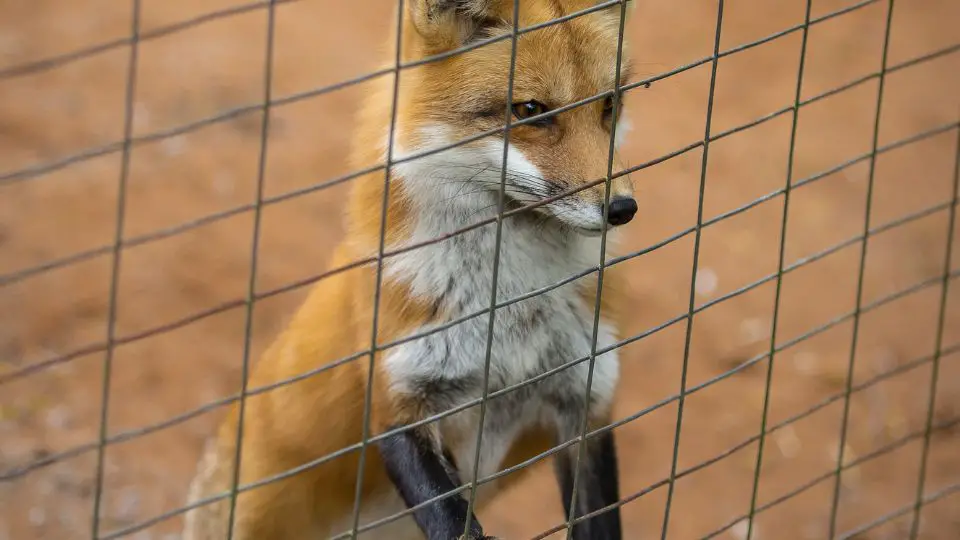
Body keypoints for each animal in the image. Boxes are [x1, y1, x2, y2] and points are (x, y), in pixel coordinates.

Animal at [185, 0, 640, 536]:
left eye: (609, 104)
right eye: (531, 111)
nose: (623, 208)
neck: (512, 309)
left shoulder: (586, 399)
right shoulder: (397, 400)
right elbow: (449, 520)